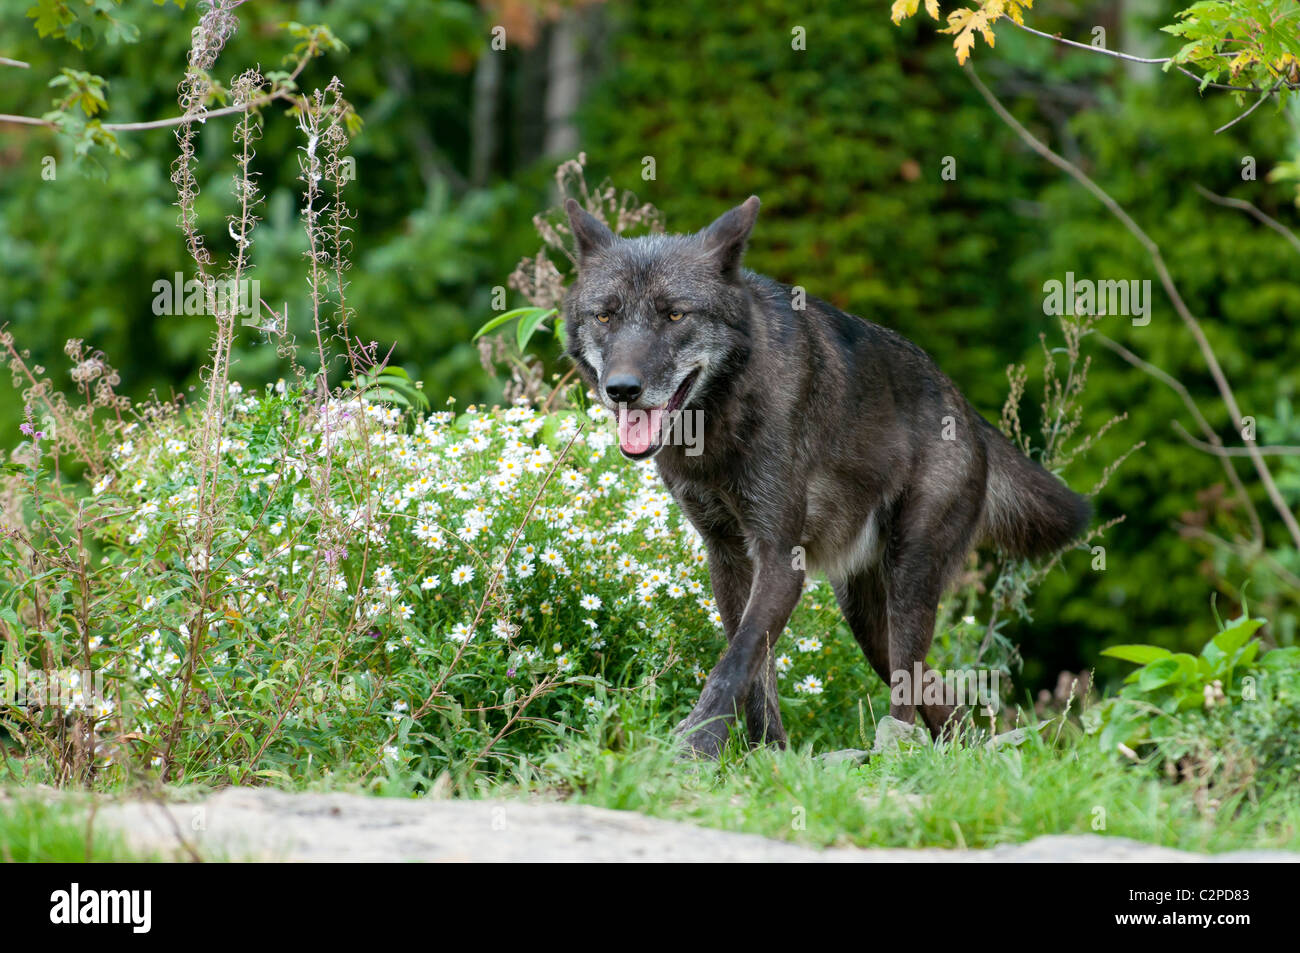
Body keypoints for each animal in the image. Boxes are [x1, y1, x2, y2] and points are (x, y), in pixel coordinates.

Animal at [564, 195, 1092, 759]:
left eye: (675, 314)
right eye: (605, 315)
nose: (622, 388)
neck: (717, 426)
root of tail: (969, 413)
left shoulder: (780, 557)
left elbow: (736, 661)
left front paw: (697, 747)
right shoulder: (727, 556)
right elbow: (755, 669)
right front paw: (766, 755)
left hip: (907, 579)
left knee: (909, 693)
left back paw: (896, 753)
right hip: (865, 619)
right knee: (941, 700)